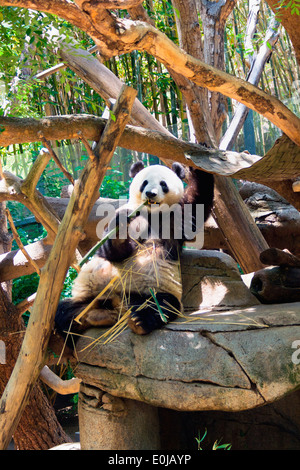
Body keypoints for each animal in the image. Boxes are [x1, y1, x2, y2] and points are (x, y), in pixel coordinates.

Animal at [54, 161, 213, 342]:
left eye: (163, 184)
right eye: (144, 182)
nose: (150, 193)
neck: (152, 214)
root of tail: (118, 305)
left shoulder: (177, 217)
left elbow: (198, 202)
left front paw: (200, 162)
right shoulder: (128, 215)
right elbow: (110, 251)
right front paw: (120, 229)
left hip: (149, 292)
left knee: (161, 305)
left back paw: (138, 321)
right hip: (91, 295)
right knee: (65, 311)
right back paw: (86, 321)